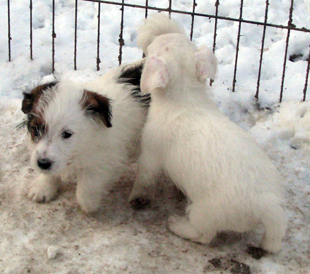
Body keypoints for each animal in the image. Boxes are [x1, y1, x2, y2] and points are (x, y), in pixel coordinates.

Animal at [22, 60, 150, 214]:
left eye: (67, 134)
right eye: (36, 129)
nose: (42, 163)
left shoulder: (106, 158)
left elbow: (88, 184)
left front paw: (89, 203)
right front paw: (43, 187)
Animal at [128, 13, 286, 253]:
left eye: (156, 47)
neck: (185, 97)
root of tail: (267, 207)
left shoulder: (151, 154)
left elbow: (144, 178)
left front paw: (136, 197)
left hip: (204, 213)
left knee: (204, 235)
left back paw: (176, 224)